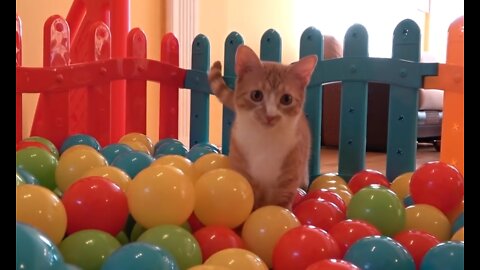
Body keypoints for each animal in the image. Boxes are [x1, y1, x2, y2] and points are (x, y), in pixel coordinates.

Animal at [209, 45, 316, 210]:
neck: (265, 140)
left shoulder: (287, 183)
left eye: (286, 99)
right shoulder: (247, 176)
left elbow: (281, 207)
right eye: (256, 95)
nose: (270, 115)